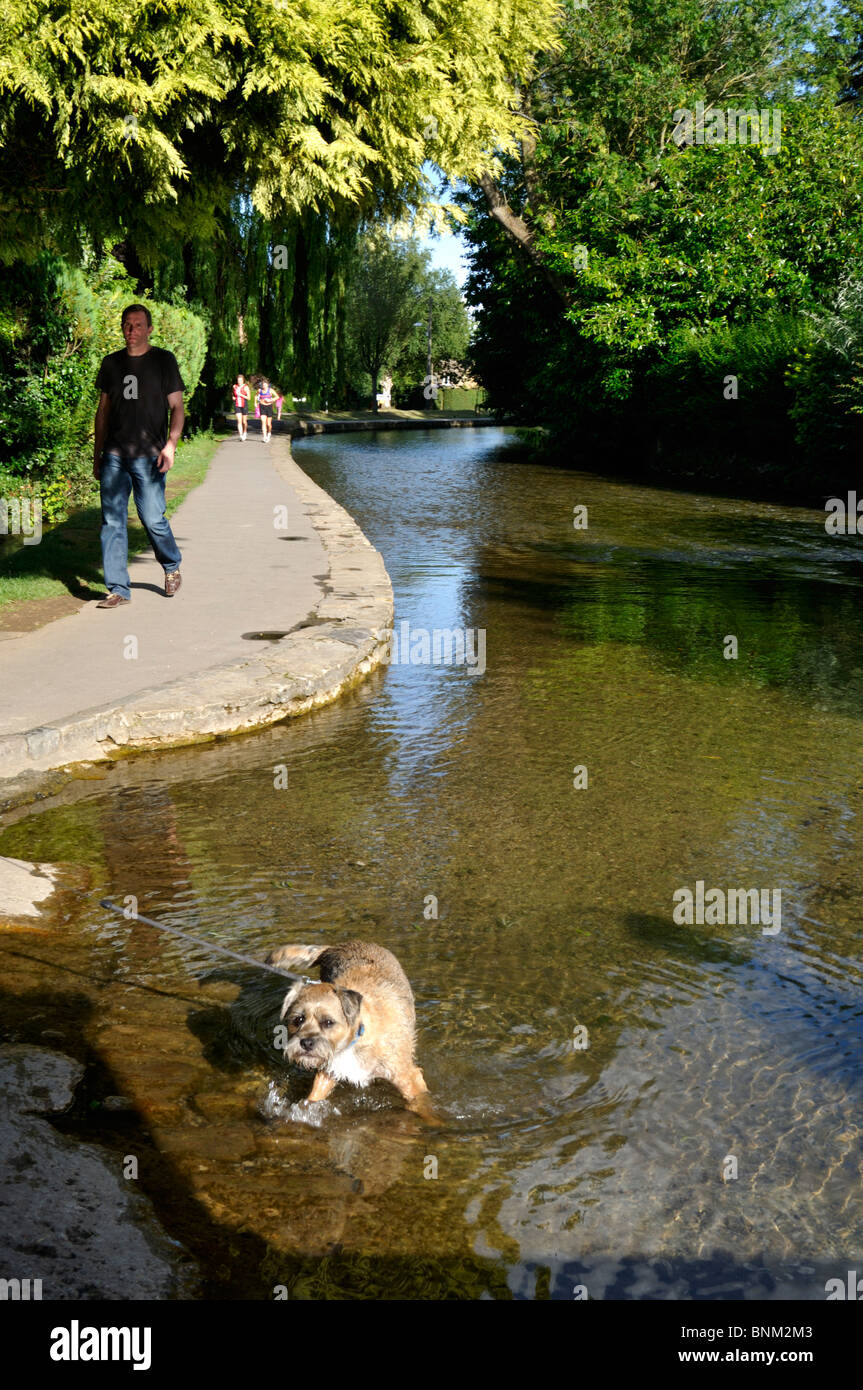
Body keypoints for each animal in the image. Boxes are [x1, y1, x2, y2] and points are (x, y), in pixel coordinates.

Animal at [264, 939, 436, 1123]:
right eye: (298, 1020)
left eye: (328, 1022)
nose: (306, 1042)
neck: (354, 1040)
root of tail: (338, 946)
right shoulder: (328, 1071)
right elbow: (315, 1095)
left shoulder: (409, 1078)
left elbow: (421, 1105)